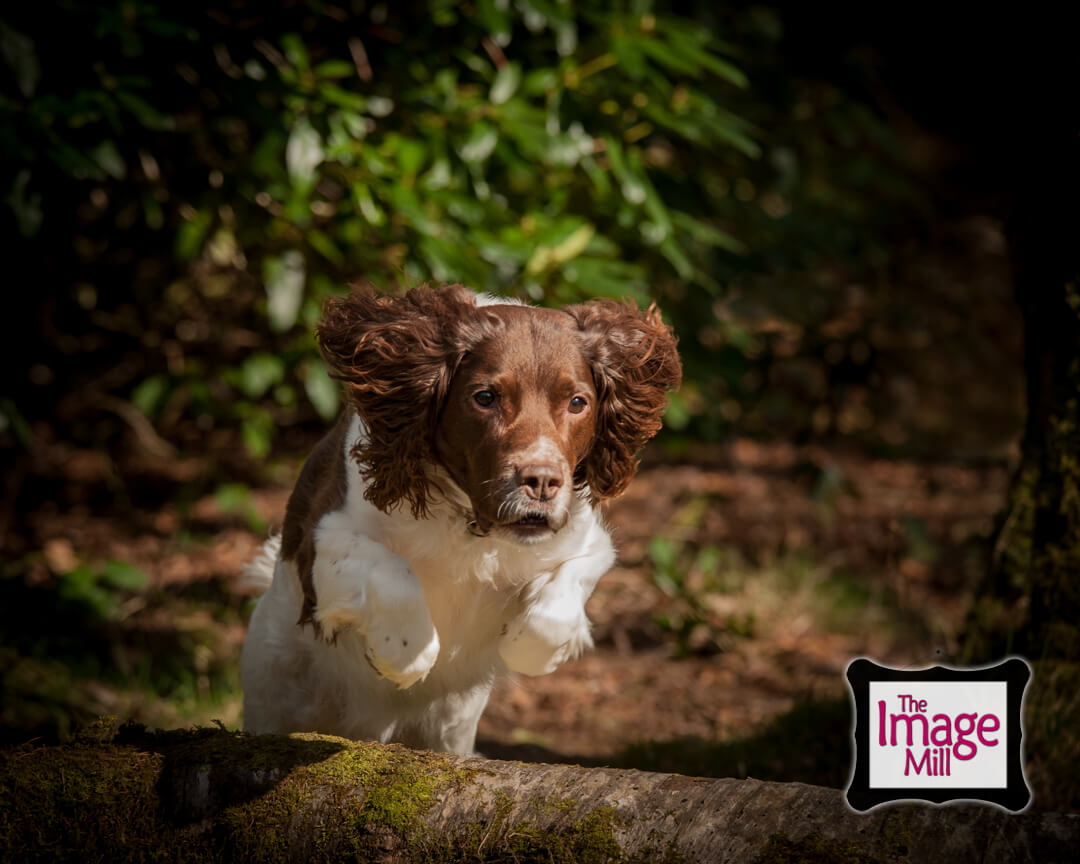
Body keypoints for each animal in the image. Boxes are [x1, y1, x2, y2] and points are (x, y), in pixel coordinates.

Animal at [246, 285, 682, 756]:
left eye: (578, 402)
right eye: (485, 398)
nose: (542, 481)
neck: (475, 529)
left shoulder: (588, 542)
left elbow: (554, 612)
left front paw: (522, 645)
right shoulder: (322, 538)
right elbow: (392, 571)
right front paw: (403, 654)